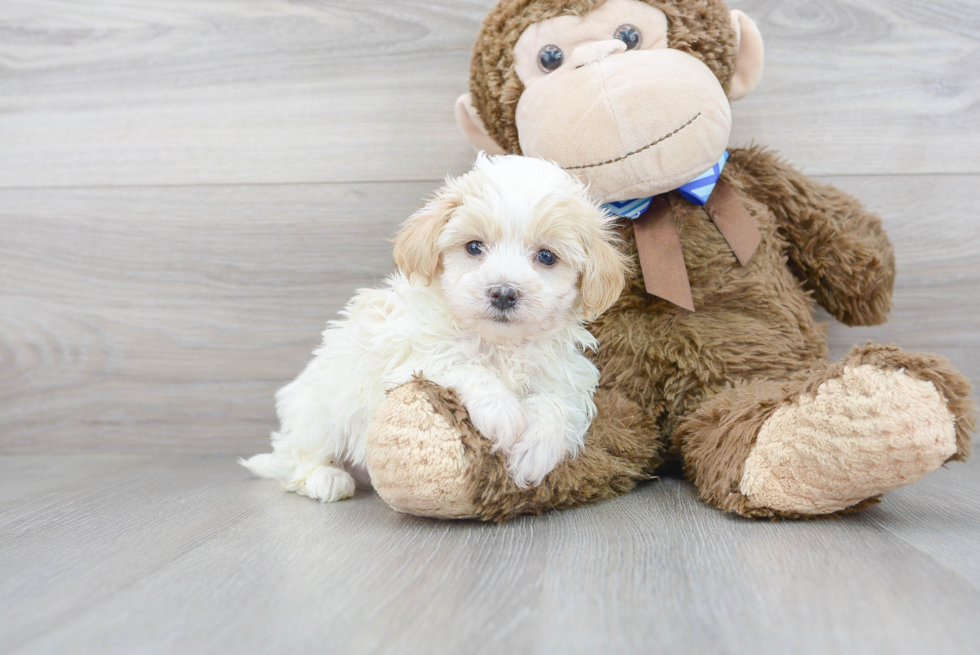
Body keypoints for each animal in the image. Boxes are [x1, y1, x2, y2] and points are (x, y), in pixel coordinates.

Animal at [243, 154, 628, 502]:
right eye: (474, 247)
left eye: (547, 256)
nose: (504, 293)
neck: (498, 343)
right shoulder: (409, 352)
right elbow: (461, 363)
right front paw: (503, 413)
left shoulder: (564, 374)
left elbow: (555, 403)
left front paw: (536, 449)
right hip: (319, 412)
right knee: (296, 461)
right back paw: (327, 478)